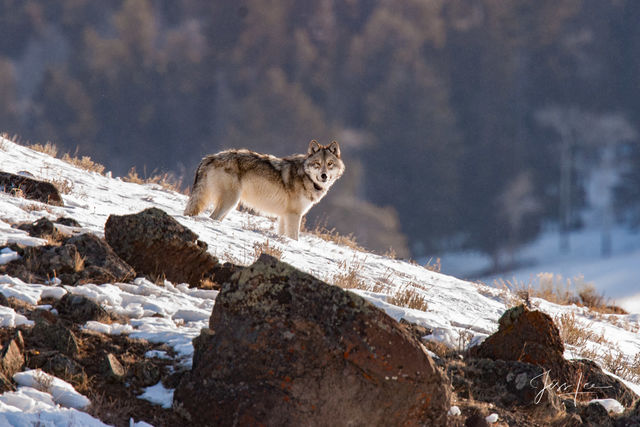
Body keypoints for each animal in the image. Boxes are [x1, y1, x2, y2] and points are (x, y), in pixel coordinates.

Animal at [185, 141, 344, 239]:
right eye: (317, 163)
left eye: (330, 164)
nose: (324, 176)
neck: (306, 177)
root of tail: (210, 157)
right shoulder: (294, 215)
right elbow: (295, 238)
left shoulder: (284, 215)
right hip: (230, 202)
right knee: (211, 217)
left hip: (230, 206)